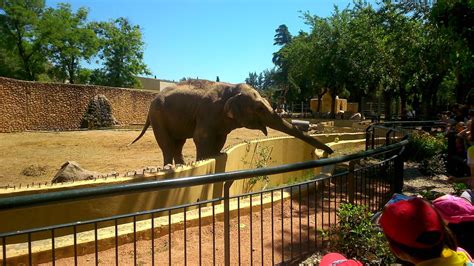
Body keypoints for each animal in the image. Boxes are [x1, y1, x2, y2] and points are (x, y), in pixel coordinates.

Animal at [130, 80, 334, 165]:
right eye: (260, 108)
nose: (330, 151)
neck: (232, 88)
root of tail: (153, 100)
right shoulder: (208, 112)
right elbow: (201, 137)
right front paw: (203, 160)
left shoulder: (220, 122)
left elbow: (220, 139)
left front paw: (217, 155)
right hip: (157, 116)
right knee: (166, 143)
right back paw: (170, 167)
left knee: (178, 143)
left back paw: (180, 165)